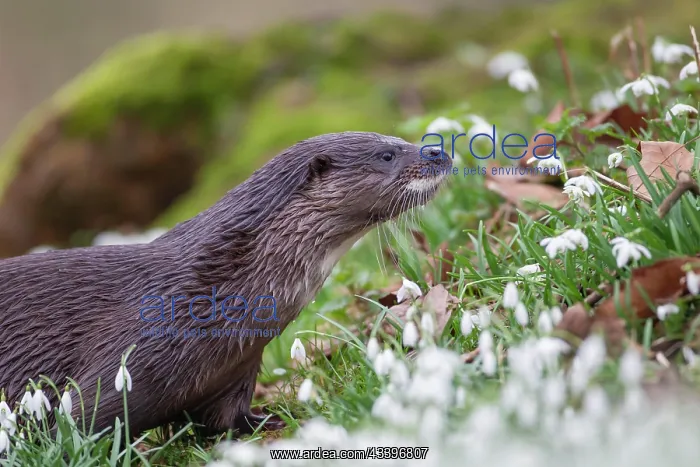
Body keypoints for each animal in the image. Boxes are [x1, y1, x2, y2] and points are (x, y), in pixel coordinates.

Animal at [0, 131, 451, 435]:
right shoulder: (127, 359)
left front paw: (269, 419)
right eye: (387, 154)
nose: (439, 152)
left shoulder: (238, 367)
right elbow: (76, 423)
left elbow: (227, 417)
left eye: (402, 139)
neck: (211, 289)